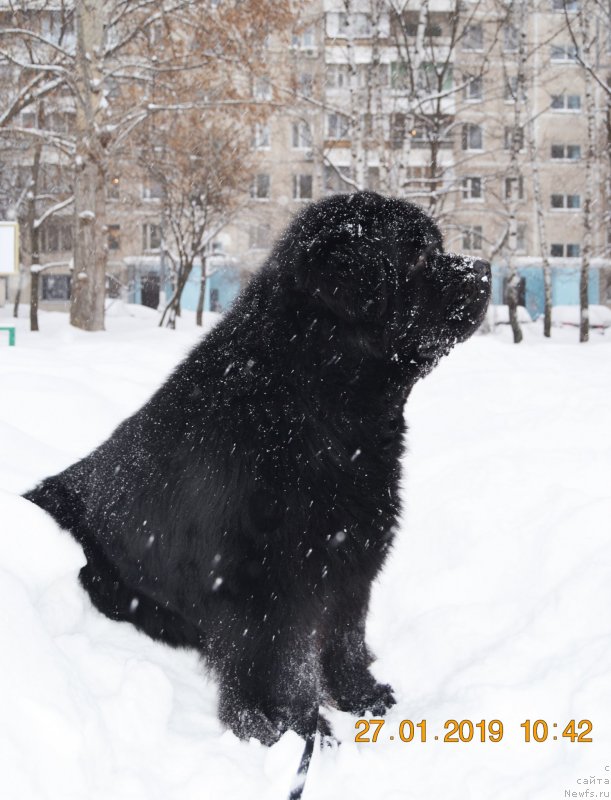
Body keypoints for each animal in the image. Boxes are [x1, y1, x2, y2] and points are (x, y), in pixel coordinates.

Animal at [25, 194, 492, 752]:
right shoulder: (268, 584)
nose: (485, 269)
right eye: (420, 257)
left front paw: (363, 698)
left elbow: (345, 636)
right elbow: (284, 664)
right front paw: (295, 731)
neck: (318, 410)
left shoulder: (351, 557)